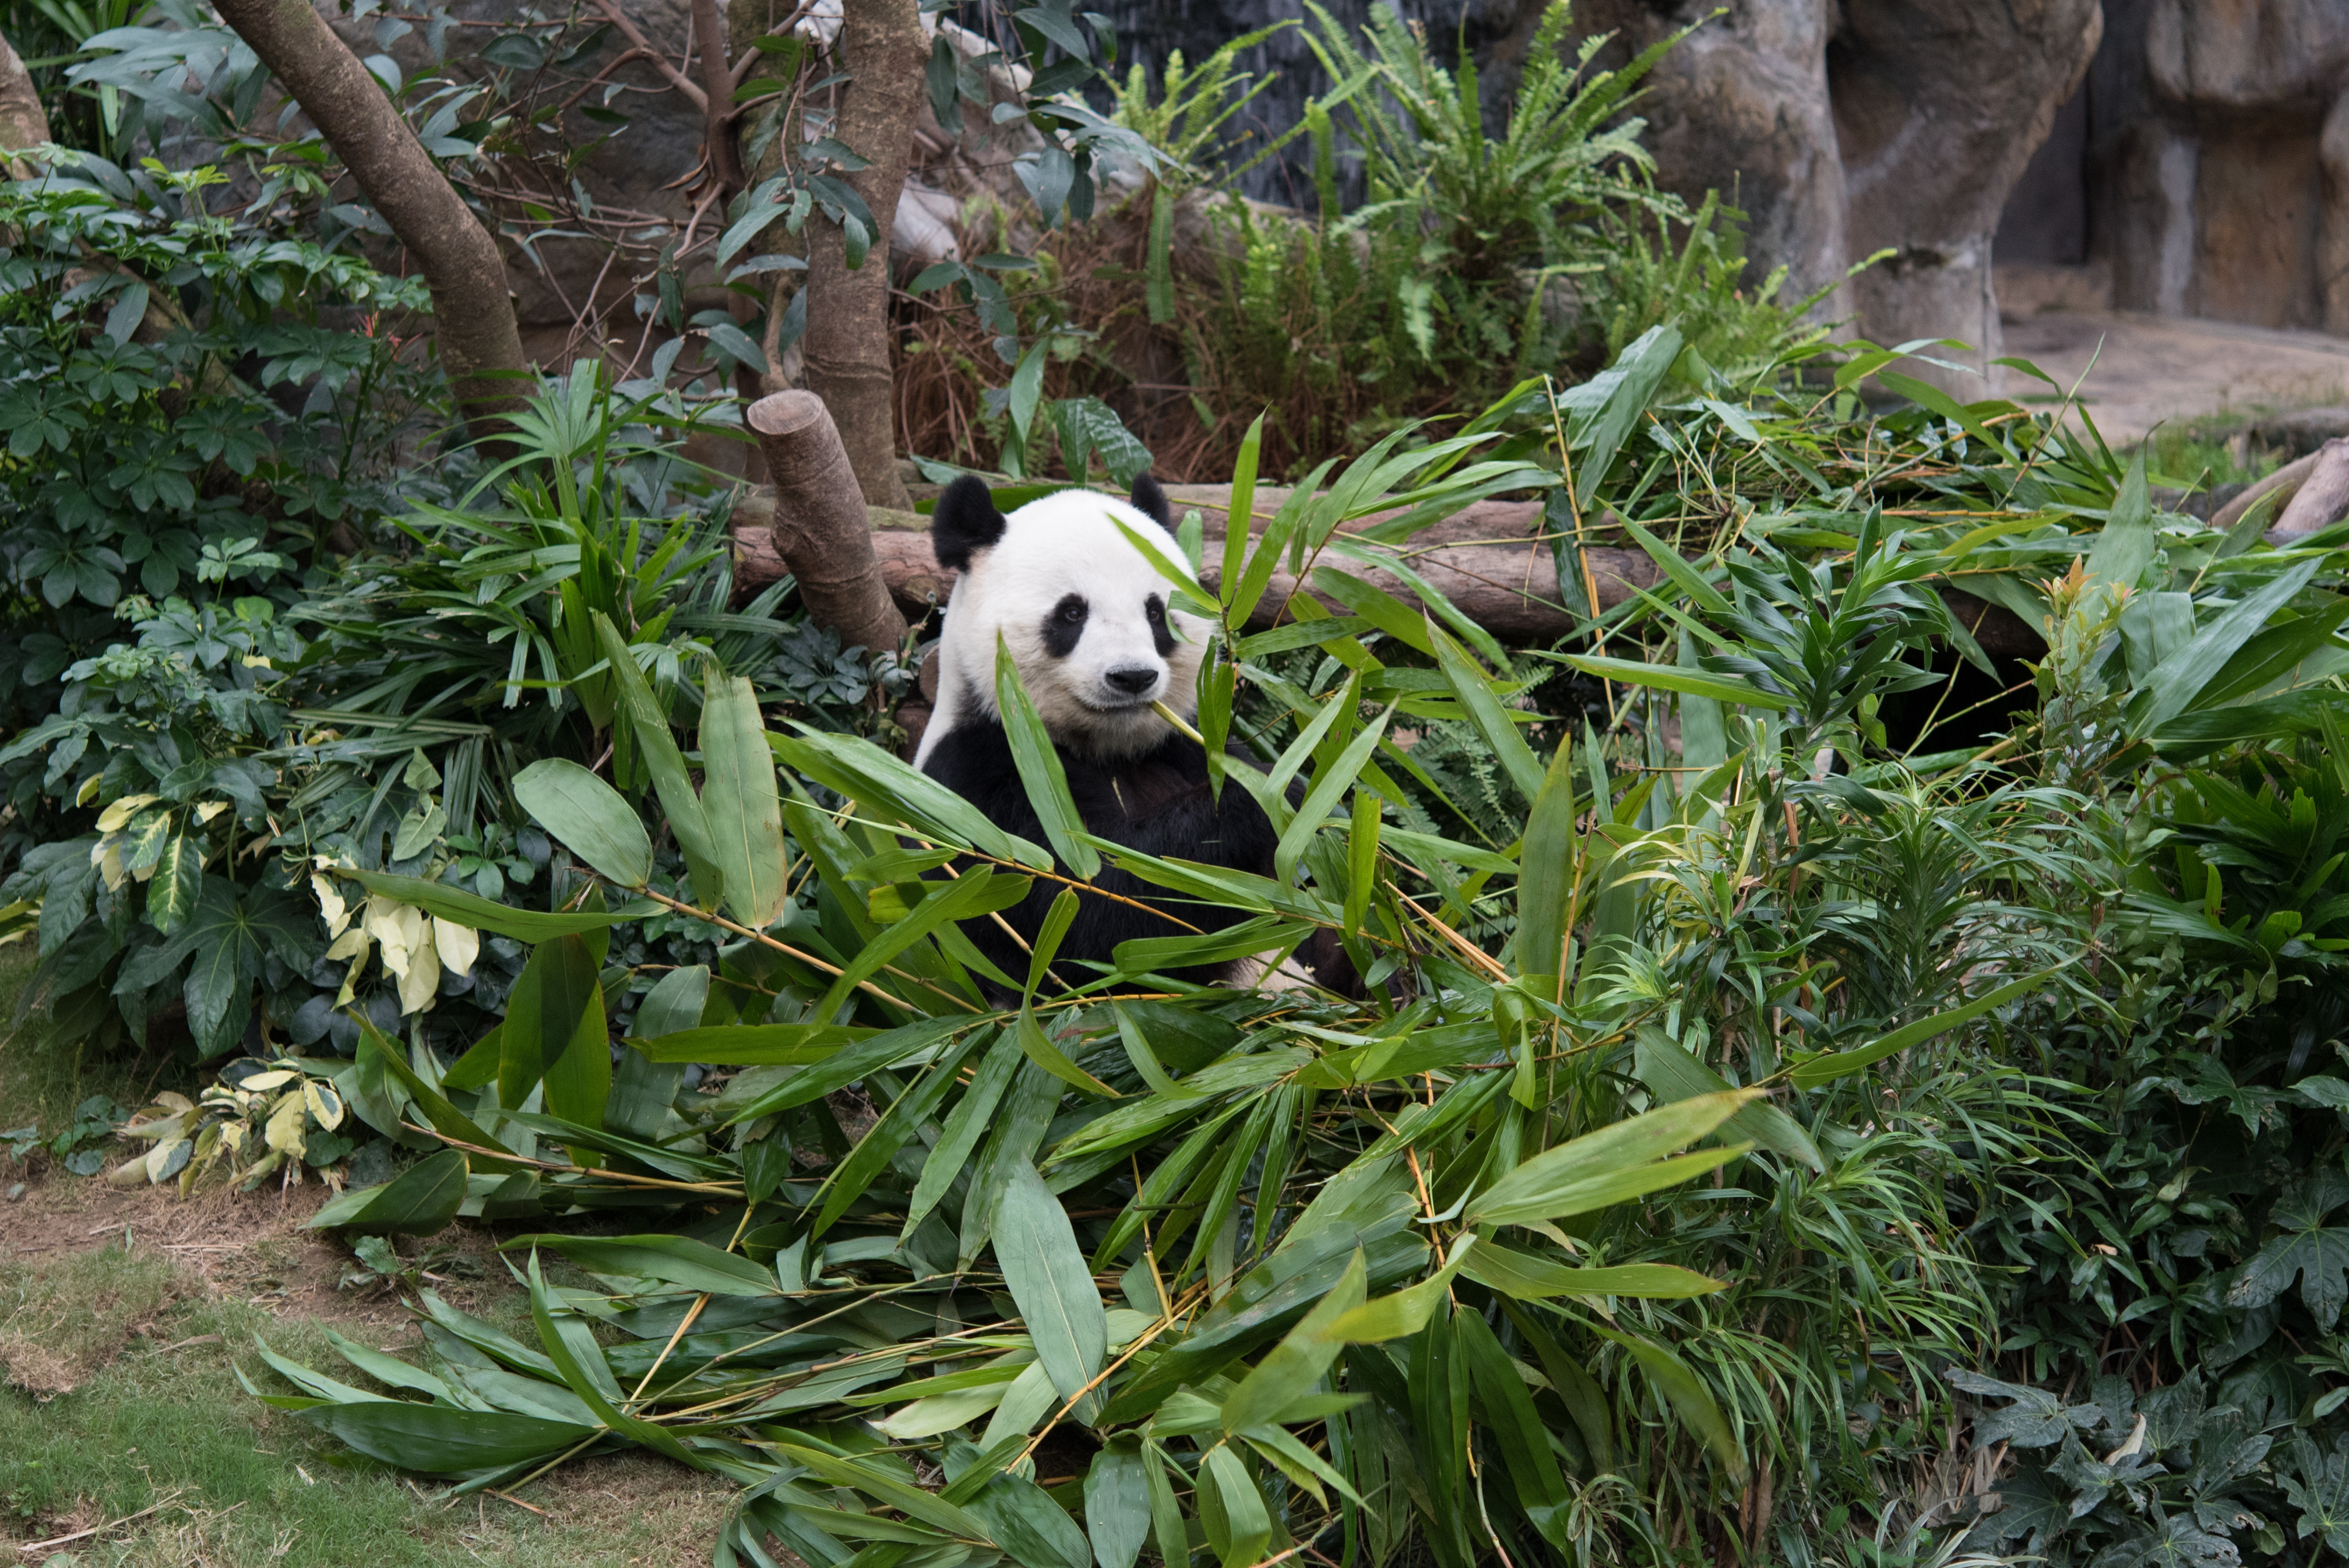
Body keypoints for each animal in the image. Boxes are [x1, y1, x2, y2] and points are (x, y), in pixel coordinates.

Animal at [916, 469, 1362, 991]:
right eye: (1071, 612)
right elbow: (1099, 910)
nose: (1132, 677)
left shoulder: (1186, 745)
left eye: (1155, 612)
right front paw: (1271, 796)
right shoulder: (984, 785)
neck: (1111, 750)